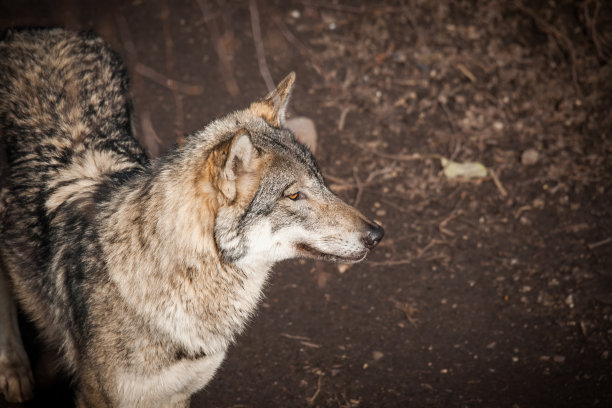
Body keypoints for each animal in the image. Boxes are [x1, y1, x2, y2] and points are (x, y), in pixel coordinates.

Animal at [0, 28, 382, 408]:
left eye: (320, 180)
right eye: (293, 195)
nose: (377, 234)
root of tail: (35, 32)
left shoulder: (179, 393)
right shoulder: (103, 397)